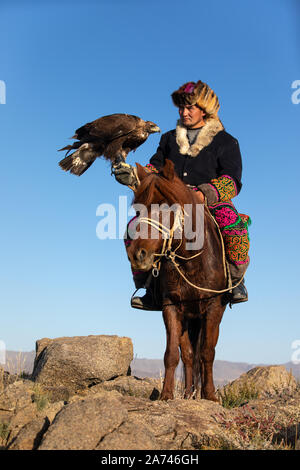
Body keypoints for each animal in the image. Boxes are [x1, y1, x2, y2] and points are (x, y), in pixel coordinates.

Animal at [126, 159, 227, 400]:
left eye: (166, 207)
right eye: (137, 209)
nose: (137, 254)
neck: (192, 261)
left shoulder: (213, 307)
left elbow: (207, 352)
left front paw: (210, 396)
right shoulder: (171, 306)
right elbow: (172, 353)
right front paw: (166, 395)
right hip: (188, 317)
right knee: (188, 355)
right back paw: (189, 393)